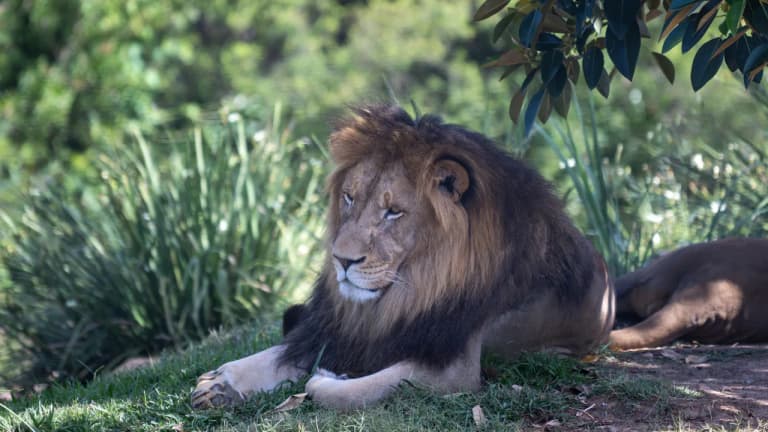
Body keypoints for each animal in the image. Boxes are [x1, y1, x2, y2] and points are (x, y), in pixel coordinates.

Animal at [190, 104, 614, 411]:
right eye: (349, 198)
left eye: (393, 212)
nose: (341, 261)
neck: (413, 290)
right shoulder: (343, 327)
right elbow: (278, 351)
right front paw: (220, 383)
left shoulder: (455, 368)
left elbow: (338, 391)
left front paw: (331, 377)